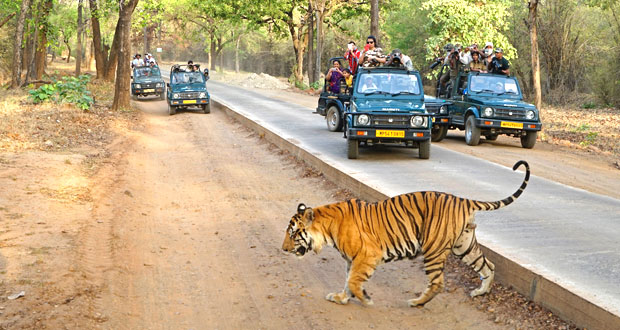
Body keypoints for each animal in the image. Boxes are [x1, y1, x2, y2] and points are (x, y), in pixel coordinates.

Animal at [280, 160, 528, 306]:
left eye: (293, 234)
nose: (283, 249)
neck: (326, 228)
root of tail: (463, 200)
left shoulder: (367, 255)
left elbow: (353, 281)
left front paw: (365, 299)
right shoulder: (353, 259)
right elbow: (348, 281)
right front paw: (341, 297)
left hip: (434, 249)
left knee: (438, 282)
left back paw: (417, 302)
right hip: (464, 245)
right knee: (488, 265)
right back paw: (481, 292)